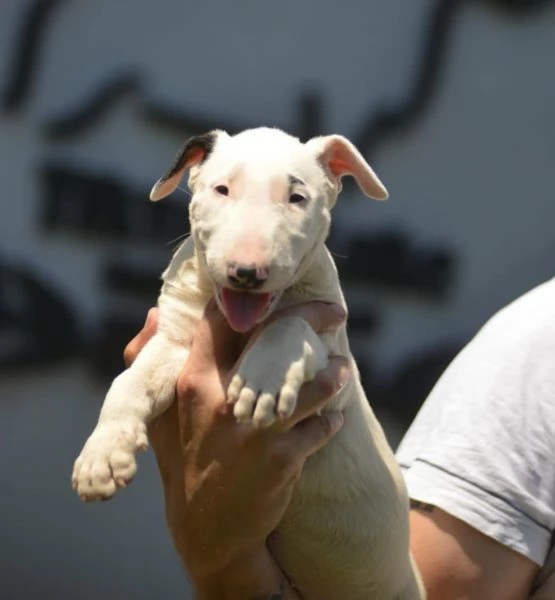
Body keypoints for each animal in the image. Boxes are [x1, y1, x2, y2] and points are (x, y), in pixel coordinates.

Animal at [70, 127, 426, 600]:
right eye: (222, 189)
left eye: (297, 197)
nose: (246, 272)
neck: (243, 327)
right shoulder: (173, 340)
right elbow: (128, 384)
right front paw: (103, 457)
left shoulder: (334, 358)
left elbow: (290, 325)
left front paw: (261, 383)